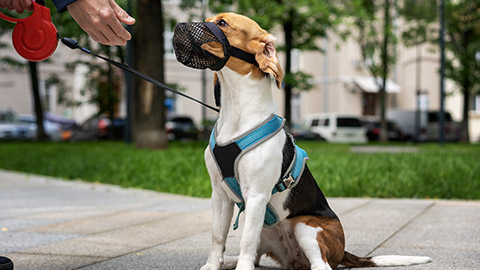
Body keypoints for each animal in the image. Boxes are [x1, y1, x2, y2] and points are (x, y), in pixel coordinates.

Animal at [172, 12, 432, 270]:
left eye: (223, 23)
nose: (178, 26)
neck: (236, 111)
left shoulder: (256, 195)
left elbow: (245, 240)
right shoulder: (219, 195)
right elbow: (218, 236)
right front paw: (212, 265)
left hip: (305, 227)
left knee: (319, 264)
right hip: (266, 231)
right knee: (255, 253)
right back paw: (230, 261)